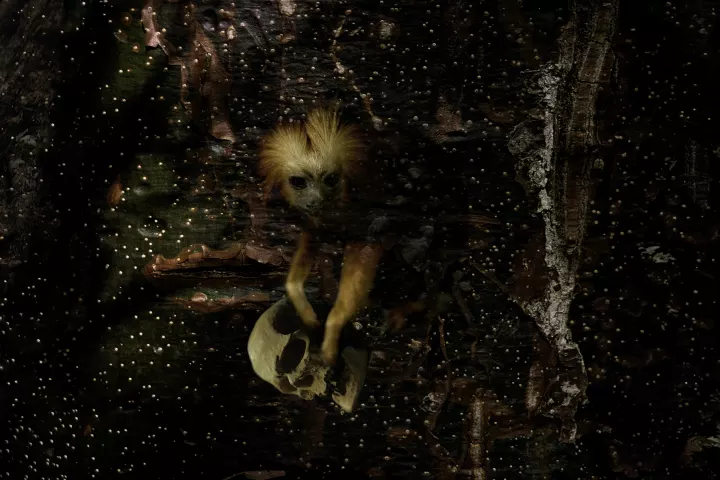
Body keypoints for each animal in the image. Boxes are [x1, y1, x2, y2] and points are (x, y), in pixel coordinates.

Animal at [258, 107, 383, 365]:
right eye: (299, 182)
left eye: (330, 179)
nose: (316, 200)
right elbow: (312, 238)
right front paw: (298, 296)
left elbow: (368, 247)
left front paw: (335, 322)